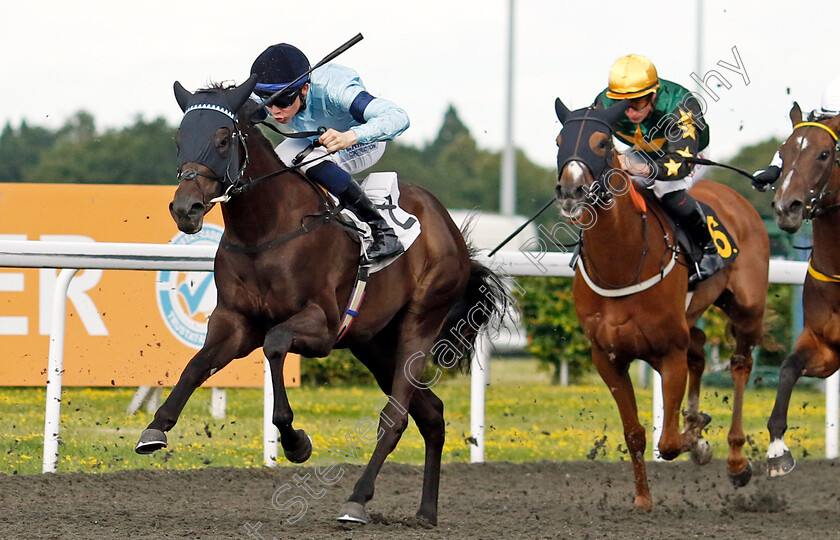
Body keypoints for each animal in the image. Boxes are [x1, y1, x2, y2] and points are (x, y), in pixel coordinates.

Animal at [135, 74, 508, 524]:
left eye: (223, 139)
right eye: (178, 139)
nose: (185, 208)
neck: (265, 232)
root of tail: (448, 226)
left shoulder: (322, 326)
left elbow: (276, 344)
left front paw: (295, 440)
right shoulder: (235, 323)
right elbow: (196, 364)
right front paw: (155, 428)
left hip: (419, 324)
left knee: (396, 418)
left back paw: (357, 499)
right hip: (375, 344)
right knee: (431, 414)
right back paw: (426, 512)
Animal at [556, 98, 772, 510]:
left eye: (602, 142)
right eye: (559, 140)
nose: (571, 190)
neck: (622, 264)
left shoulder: (669, 351)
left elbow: (669, 443)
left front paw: (697, 439)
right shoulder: (607, 357)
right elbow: (635, 433)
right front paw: (643, 498)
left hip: (747, 308)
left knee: (740, 363)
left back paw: (737, 460)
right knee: (700, 349)